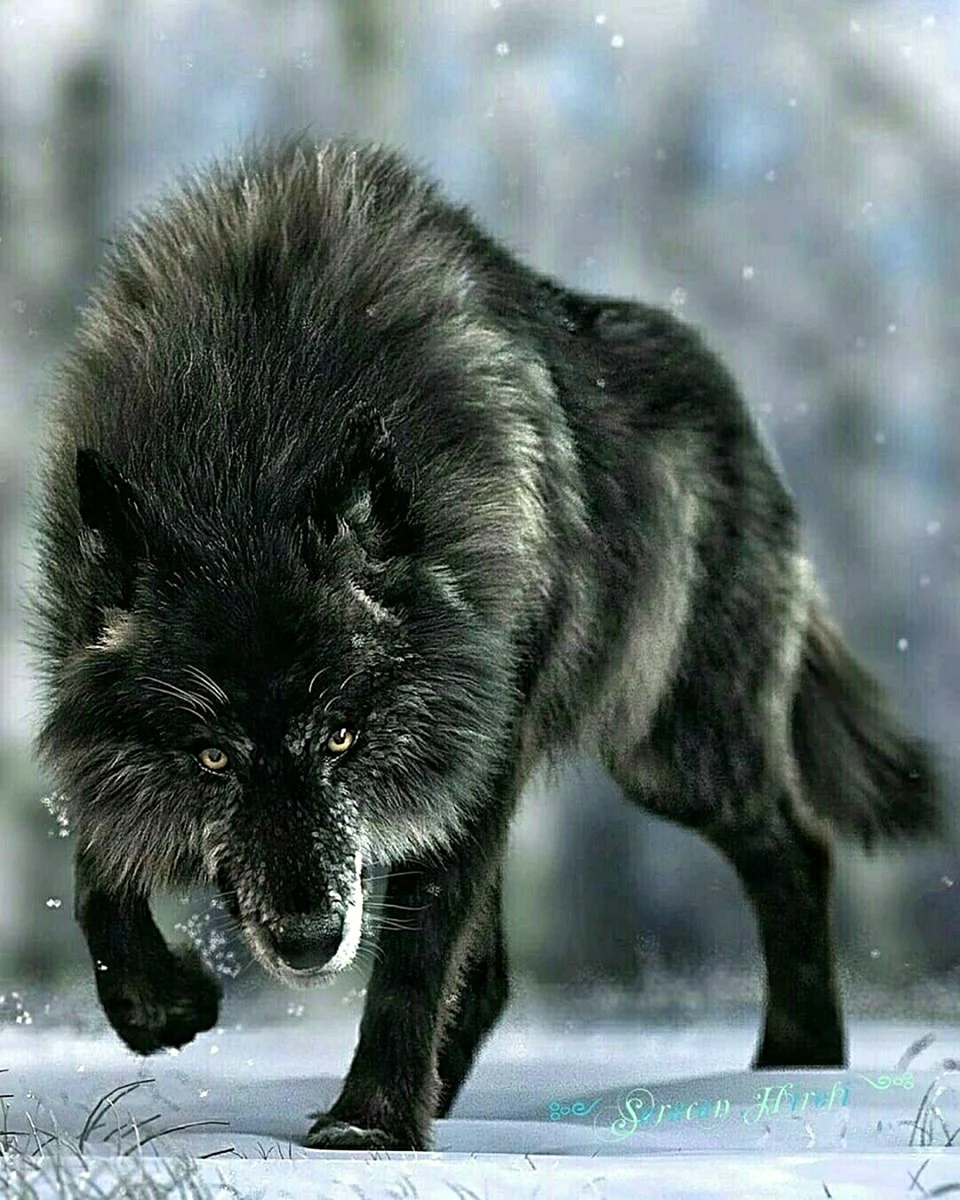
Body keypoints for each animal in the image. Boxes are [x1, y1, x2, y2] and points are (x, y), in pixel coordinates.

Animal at [27, 137, 942, 1151]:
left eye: (341, 735)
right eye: (213, 756)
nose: (309, 942)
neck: (250, 435)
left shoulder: (475, 751)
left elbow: (415, 958)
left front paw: (370, 1129)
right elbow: (98, 865)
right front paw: (159, 1003)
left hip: (670, 753)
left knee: (796, 847)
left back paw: (797, 1070)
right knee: (501, 970)